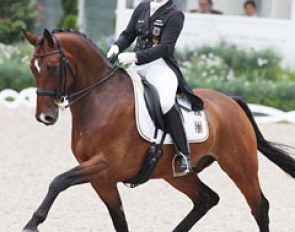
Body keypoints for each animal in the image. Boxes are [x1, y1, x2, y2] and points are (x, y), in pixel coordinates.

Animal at [22, 29, 294, 232]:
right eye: (32, 67)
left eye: (53, 66)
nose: (44, 117)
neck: (100, 99)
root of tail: (230, 100)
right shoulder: (102, 178)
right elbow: (119, 219)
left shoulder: (105, 165)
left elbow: (59, 181)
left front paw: (32, 223)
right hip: (176, 173)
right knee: (206, 199)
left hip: (240, 165)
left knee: (259, 206)